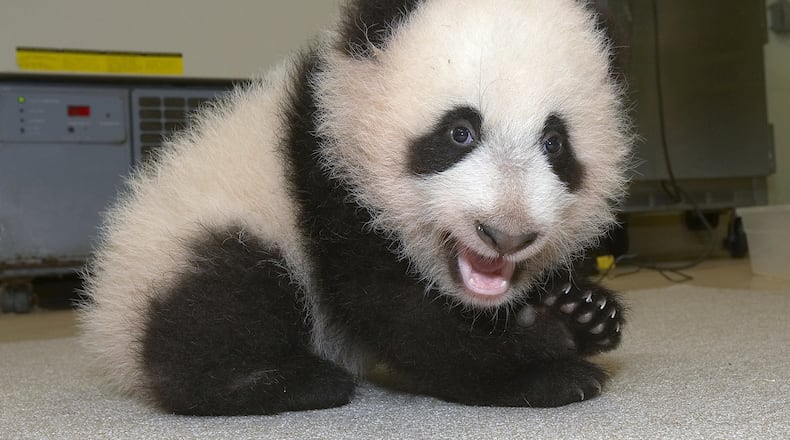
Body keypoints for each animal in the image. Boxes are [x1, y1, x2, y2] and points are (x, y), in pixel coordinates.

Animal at [79, 0, 632, 416]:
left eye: (555, 143)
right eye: (460, 132)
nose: (506, 234)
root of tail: (107, 323)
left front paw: (582, 312)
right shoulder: (330, 188)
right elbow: (403, 316)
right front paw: (547, 370)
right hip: (188, 240)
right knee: (222, 300)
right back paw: (291, 382)